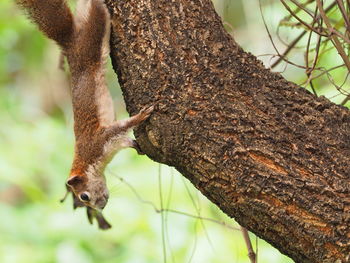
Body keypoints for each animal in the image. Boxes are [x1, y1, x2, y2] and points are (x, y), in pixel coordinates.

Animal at [16, 0, 153, 229]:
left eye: (84, 196)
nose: (101, 207)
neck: (89, 162)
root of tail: (70, 44)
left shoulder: (99, 140)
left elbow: (122, 126)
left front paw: (141, 117)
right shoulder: (112, 142)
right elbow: (126, 140)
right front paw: (137, 146)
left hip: (93, 37)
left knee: (96, 11)